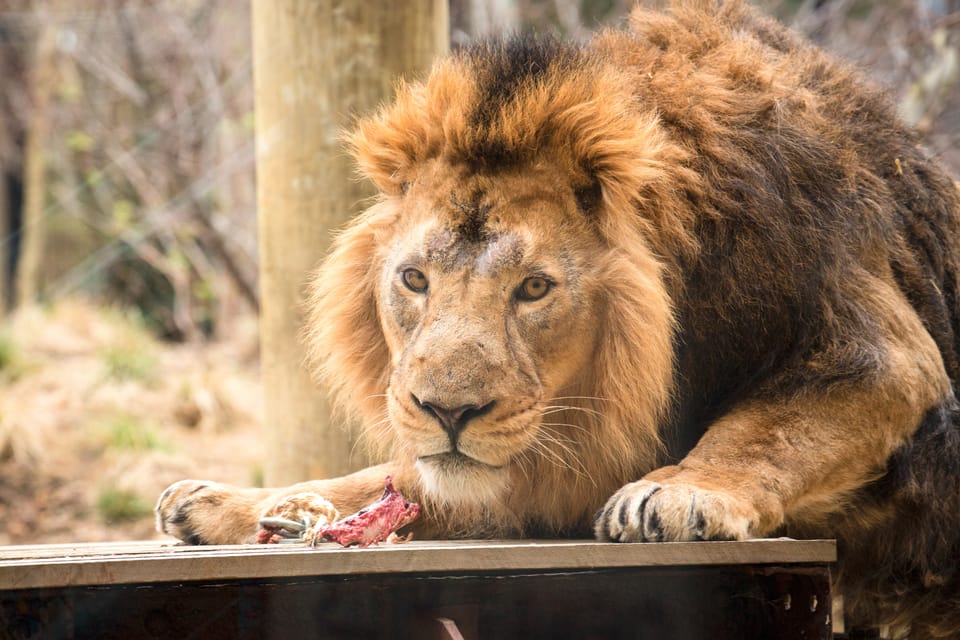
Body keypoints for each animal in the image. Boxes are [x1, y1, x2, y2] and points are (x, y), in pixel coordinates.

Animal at [154, 2, 960, 636]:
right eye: (414, 280)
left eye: (534, 288)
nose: (448, 411)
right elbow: (394, 479)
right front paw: (238, 505)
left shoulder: (876, 351)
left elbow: (765, 430)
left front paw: (680, 492)